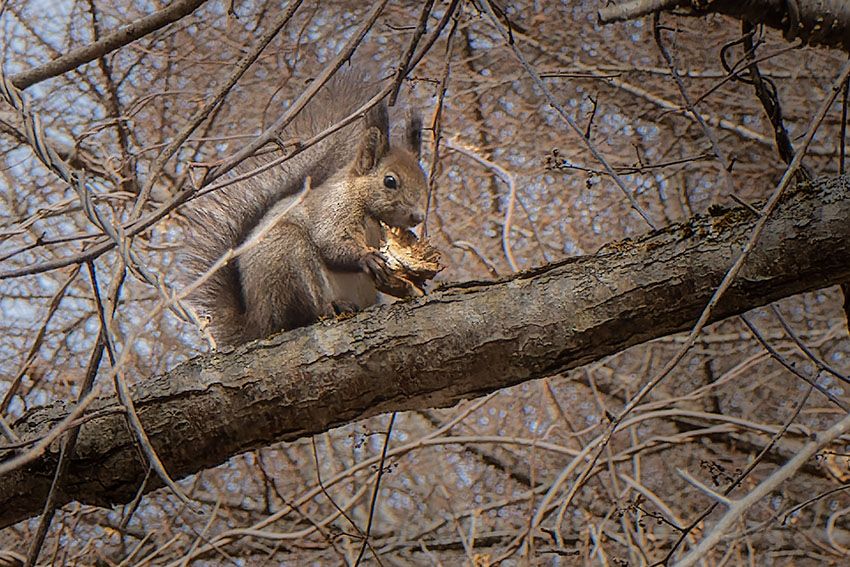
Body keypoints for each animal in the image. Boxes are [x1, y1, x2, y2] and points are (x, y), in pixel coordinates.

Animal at [182, 71, 428, 346]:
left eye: (424, 178)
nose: (418, 216)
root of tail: (257, 322)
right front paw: (368, 258)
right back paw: (334, 307)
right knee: (304, 311)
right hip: (288, 257)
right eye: (390, 181)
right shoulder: (333, 209)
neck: (368, 209)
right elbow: (331, 243)